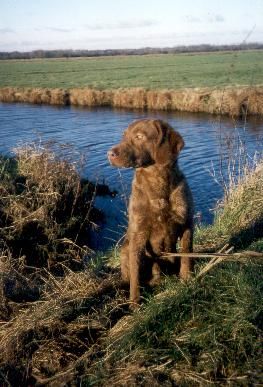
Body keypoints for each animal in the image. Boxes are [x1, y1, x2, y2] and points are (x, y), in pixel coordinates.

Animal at [107, 119, 194, 308]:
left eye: (139, 136)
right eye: (124, 136)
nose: (109, 154)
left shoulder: (187, 223)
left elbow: (186, 252)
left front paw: (187, 278)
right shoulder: (138, 234)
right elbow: (135, 276)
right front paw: (135, 304)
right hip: (125, 250)